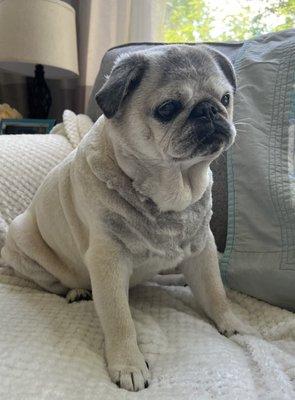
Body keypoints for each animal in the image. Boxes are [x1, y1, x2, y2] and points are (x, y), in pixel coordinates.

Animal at [1, 44, 253, 390]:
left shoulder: (202, 249)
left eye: (226, 99)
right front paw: (129, 364)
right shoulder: (107, 260)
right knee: (53, 284)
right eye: (168, 108)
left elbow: (216, 292)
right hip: (23, 238)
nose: (208, 110)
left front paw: (230, 322)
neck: (170, 190)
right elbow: (119, 319)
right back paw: (76, 291)